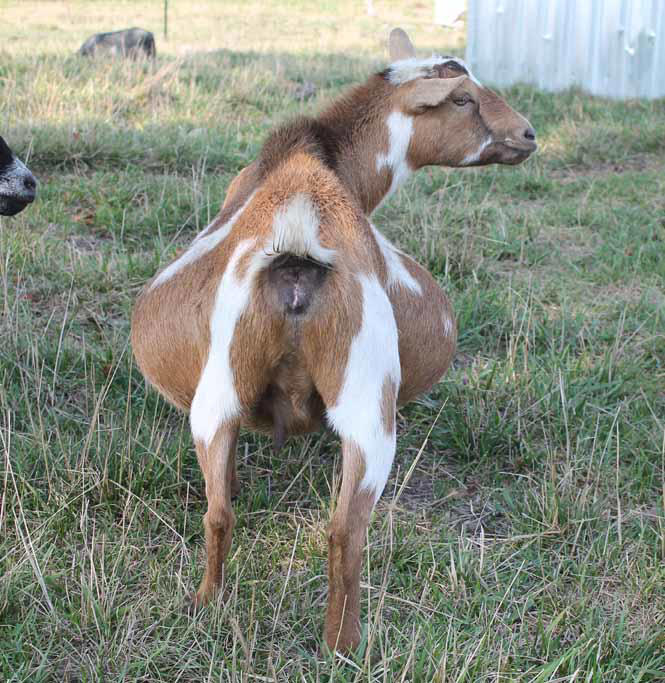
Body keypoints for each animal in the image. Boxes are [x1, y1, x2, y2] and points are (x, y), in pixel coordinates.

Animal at [131, 28, 536, 653]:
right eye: (463, 98)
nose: (528, 134)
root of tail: (299, 233)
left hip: (225, 398)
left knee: (226, 515)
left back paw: (213, 608)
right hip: (368, 404)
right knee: (345, 531)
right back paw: (342, 646)